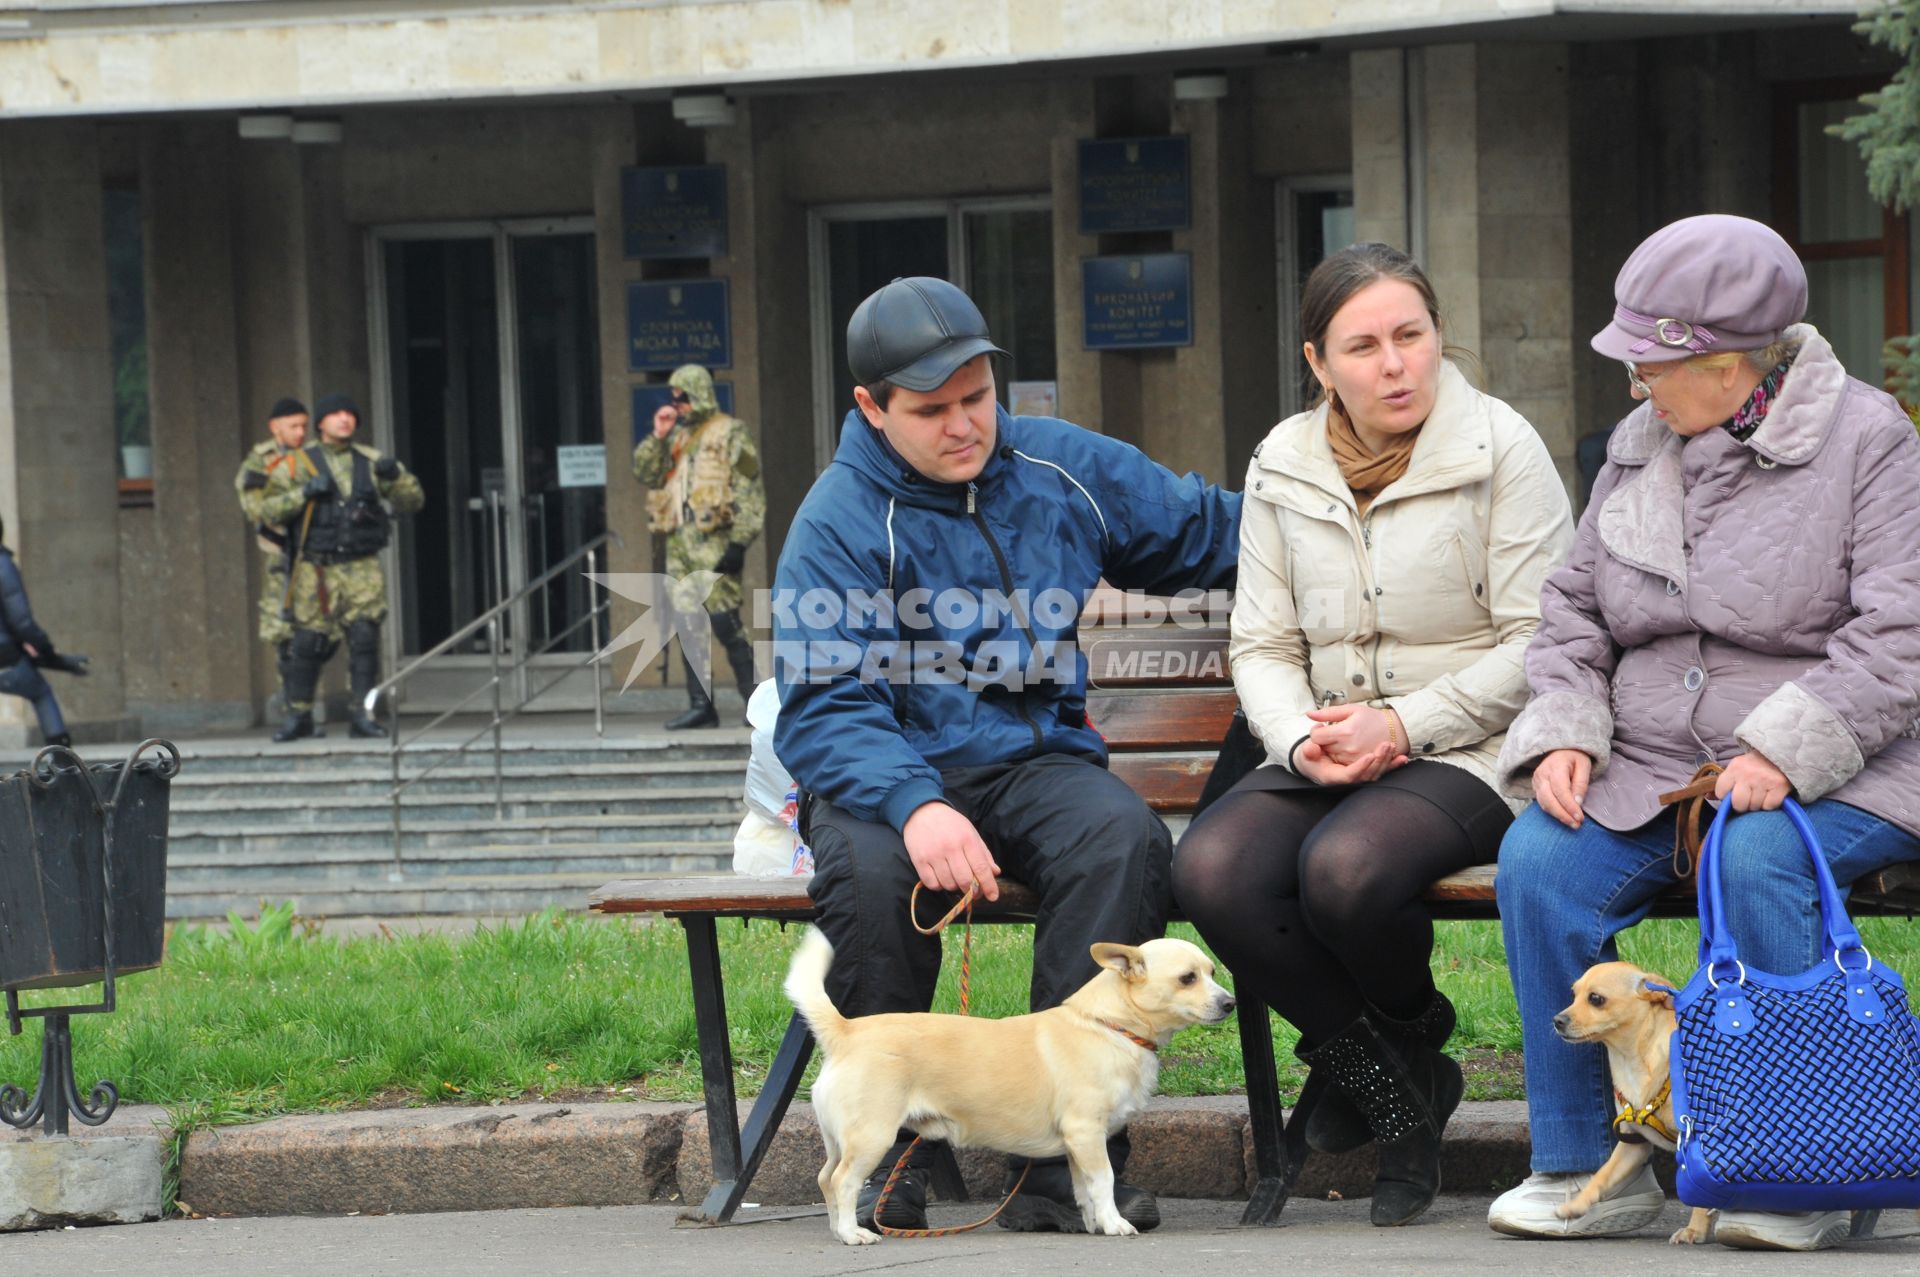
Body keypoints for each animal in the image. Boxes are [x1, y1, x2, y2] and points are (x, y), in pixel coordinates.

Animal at [787, 925, 1236, 1244]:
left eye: (1212, 972)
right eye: (1187, 978)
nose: (1230, 1002)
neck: (1109, 1025)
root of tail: (845, 1031)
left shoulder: (1078, 1146)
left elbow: (1084, 1189)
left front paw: (1094, 1223)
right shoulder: (1087, 1133)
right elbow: (1105, 1180)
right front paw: (1115, 1223)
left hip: (838, 1138)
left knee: (826, 1178)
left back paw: (837, 1230)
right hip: (872, 1135)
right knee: (844, 1181)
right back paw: (852, 1233)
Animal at [1551, 960, 1720, 1236]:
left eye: (1595, 999)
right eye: (1573, 995)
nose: (1557, 1020)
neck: (1630, 1061)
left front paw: (1694, 1230)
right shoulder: (1633, 1144)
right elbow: (1603, 1175)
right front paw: (1577, 1205)